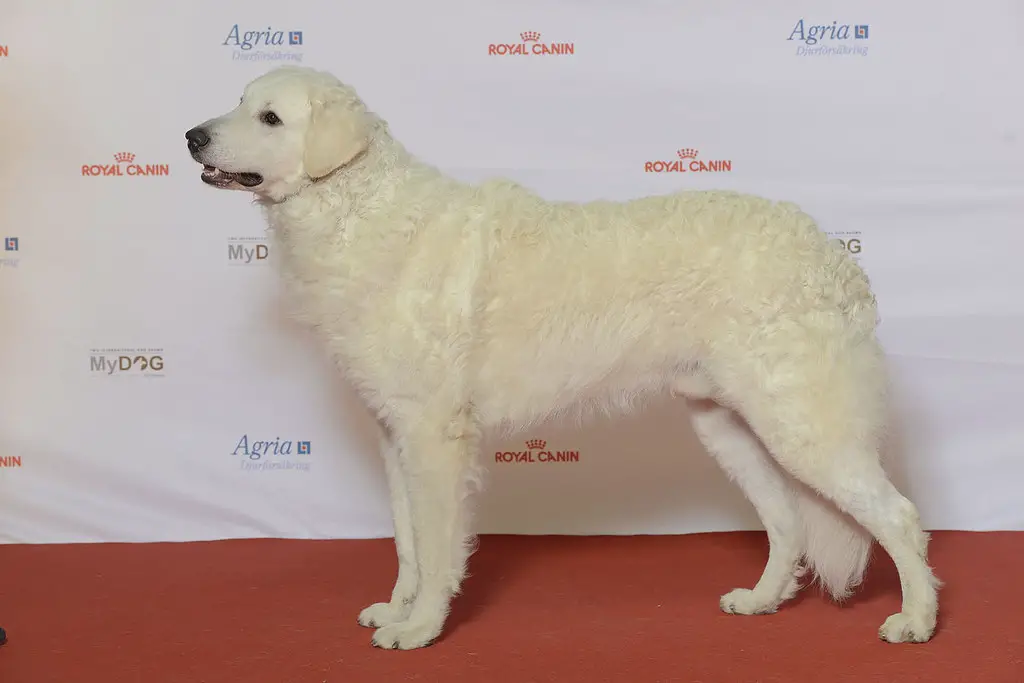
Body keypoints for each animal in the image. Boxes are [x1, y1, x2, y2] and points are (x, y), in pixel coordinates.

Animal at [188, 66, 937, 651]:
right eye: (238, 100)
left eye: (270, 116)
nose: (192, 136)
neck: (353, 208)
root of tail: (834, 254)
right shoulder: (394, 433)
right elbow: (405, 541)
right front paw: (396, 610)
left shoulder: (434, 438)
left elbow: (436, 546)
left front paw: (421, 627)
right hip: (729, 424)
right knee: (786, 521)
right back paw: (761, 601)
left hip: (802, 424)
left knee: (899, 516)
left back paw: (916, 620)